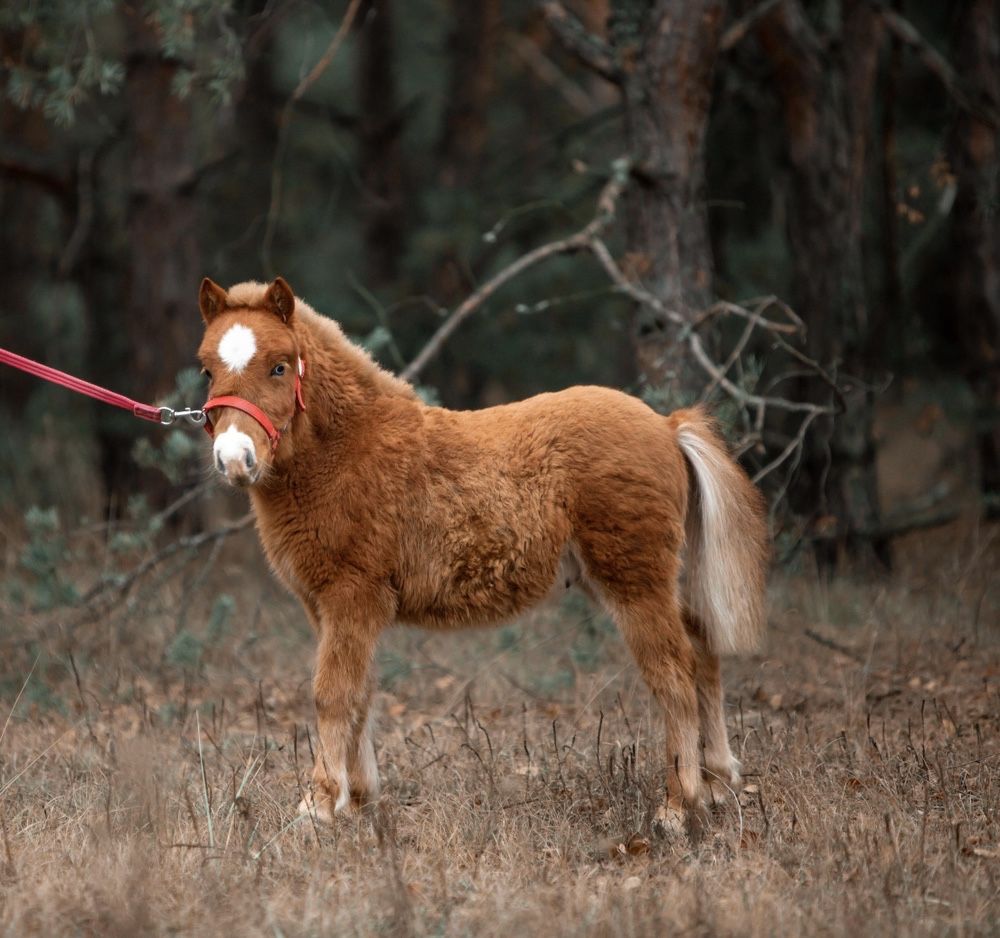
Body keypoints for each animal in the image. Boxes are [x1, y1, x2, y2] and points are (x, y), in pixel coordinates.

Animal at [197, 274, 772, 824]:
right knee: (703, 649)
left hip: (635, 579)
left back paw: (678, 807)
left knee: (675, 673)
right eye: (206, 371)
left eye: (278, 367)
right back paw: (718, 784)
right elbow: (361, 694)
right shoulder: (329, 607)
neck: (349, 451)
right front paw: (359, 802)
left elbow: (332, 694)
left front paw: (317, 806)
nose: (233, 458)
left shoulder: (352, 595)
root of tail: (667, 426)